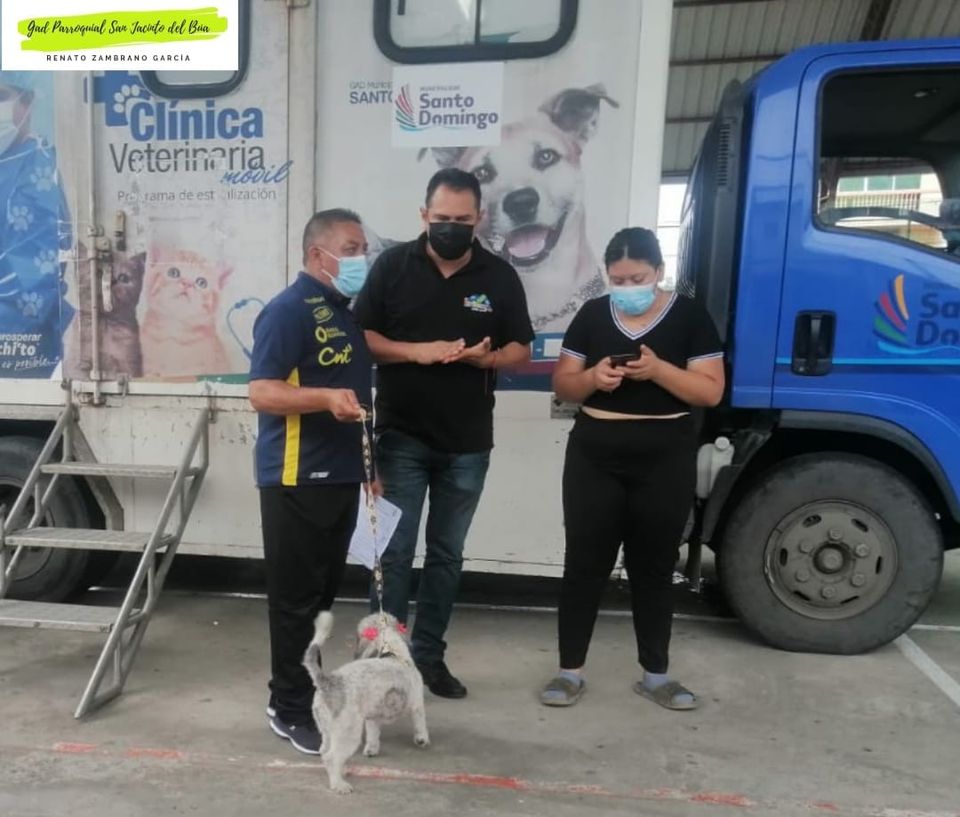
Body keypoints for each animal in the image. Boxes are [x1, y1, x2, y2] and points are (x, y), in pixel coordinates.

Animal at [66, 244, 146, 379]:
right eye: (98, 272)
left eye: (123, 278)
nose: (111, 281)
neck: (105, 325)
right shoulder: (78, 365)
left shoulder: (129, 365)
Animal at [302, 611, 429, 794]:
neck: (393, 654)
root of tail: (328, 682)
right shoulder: (417, 705)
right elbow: (420, 724)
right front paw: (422, 739)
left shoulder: (372, 716)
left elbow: (373, 734)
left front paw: (372, 749)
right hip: (348, 733)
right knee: (331, 757)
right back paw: (339, 784)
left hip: (327, 730)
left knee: (324, 751)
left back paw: (340, 772)